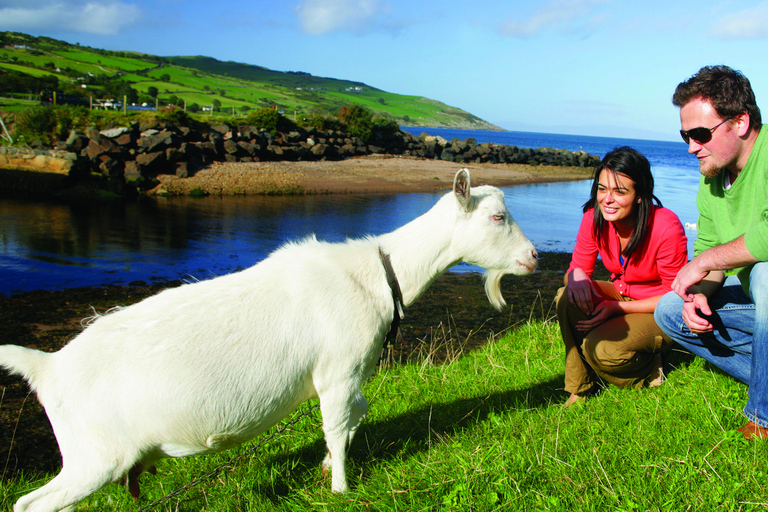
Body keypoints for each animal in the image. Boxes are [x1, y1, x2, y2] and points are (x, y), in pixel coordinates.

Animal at [0, 169, 536, 512]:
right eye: (496, 218)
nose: (533, 256)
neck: (376, 276)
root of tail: (46, 366)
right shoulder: (338, 372)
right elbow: (337, 428)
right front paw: (340, 490)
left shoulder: (344, 377)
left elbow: (354, 416)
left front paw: (326, 467)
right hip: (96, 455)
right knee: (31, 504)